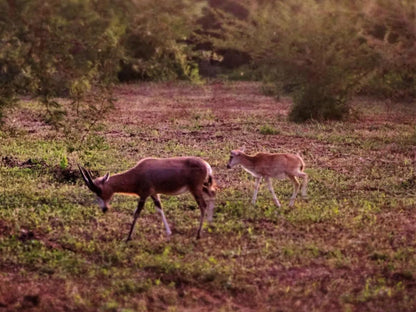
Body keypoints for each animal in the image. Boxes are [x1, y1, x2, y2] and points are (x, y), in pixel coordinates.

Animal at [78, 156, 216, 241]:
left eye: (99, 190)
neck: (139, 172)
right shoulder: (154, 194)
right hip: (203, 187)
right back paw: (209, 225)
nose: (104, 209)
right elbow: (160, 210)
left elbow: (137, 213)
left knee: (203, 205)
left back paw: (198, 234)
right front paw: (169, 233)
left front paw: (128, 237)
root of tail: (206, 165)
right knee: (212, 194)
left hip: (195, 189)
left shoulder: (144, 195)